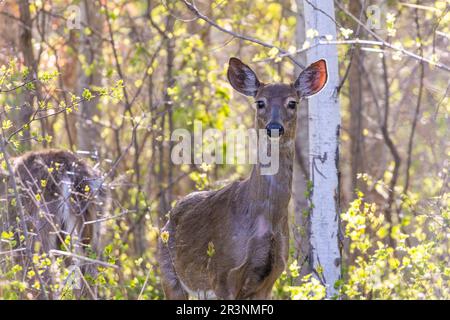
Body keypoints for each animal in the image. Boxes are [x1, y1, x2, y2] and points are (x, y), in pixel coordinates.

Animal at [159, 57, 326, 300]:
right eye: (260, 102)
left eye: (292, 102)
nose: (274, 128)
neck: (265, 218)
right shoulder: (222, 272)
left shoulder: (271, 277)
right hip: (169, 273)